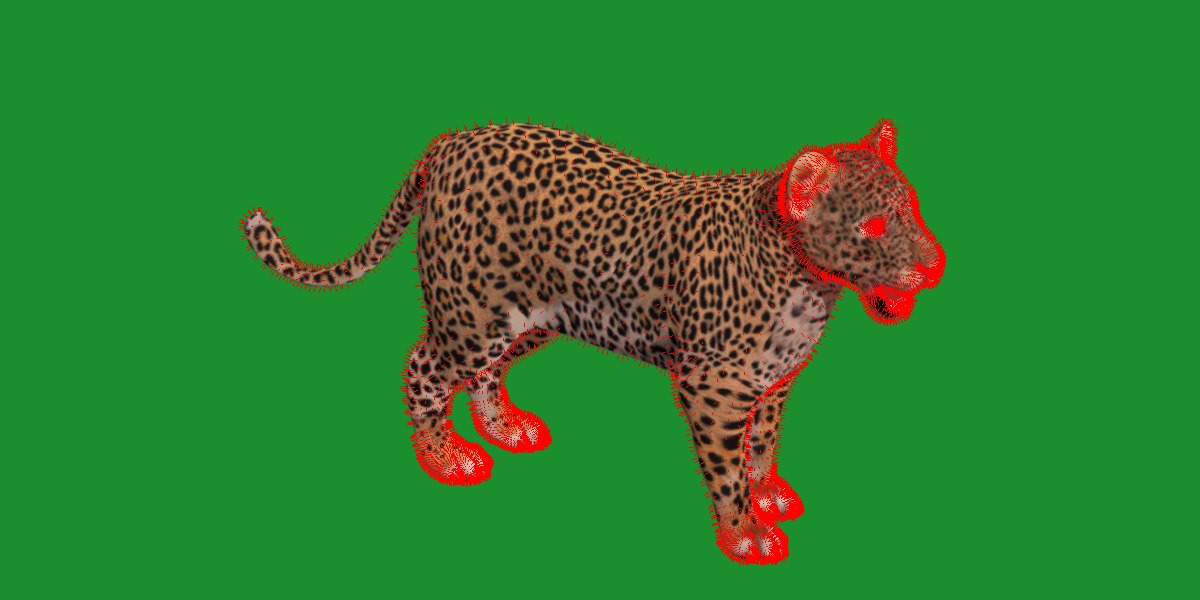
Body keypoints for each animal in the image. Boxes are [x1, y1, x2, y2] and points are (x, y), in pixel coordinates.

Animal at [239, 118, 946, 564]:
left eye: (911, 205)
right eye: (872, 226)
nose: (936, 265)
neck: (808, 284)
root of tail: (449, 143)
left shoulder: (770, 381)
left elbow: (764, 442)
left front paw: (768, 490)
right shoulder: (713, 388)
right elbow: (724, 468)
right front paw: (745, 533)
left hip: (526, 318)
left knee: (484, 373)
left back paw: (504, 428)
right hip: (471, 315)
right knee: (423, 368)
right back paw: (445, 457)